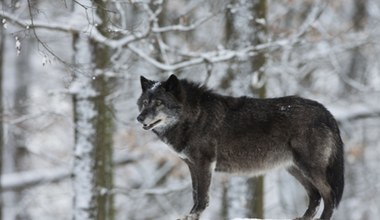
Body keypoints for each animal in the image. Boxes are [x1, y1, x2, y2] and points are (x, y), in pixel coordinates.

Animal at [137, 75, 344, 219]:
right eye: (144, 102)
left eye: (159, 103)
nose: (139, 118)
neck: (194, 116)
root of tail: (326, 112)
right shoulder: (192, 165)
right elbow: (196, 195)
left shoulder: (204, 164)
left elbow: (202, 198)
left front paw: (192, 216)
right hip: (295, 169)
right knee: (315, 196)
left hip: (308, 168)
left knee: (329, 195)